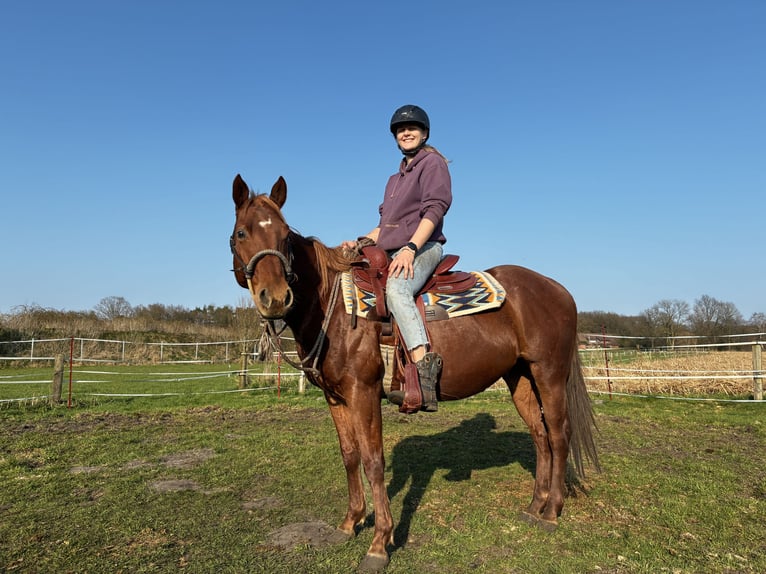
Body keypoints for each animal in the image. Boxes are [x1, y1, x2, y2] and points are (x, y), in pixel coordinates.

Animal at [230, 174, 599, 572]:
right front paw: (350, 522)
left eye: (285, 235)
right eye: (241, 233)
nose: (276, 297)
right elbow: (349, 455)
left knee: (559, 435)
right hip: (521, 378)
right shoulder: (335, 396)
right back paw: (534, 507)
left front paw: (379, 543)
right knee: (540, 436)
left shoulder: (363, 392)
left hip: (550, 374)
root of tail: (559, 291)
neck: (334, 306)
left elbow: (374, 461)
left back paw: (552, 512)